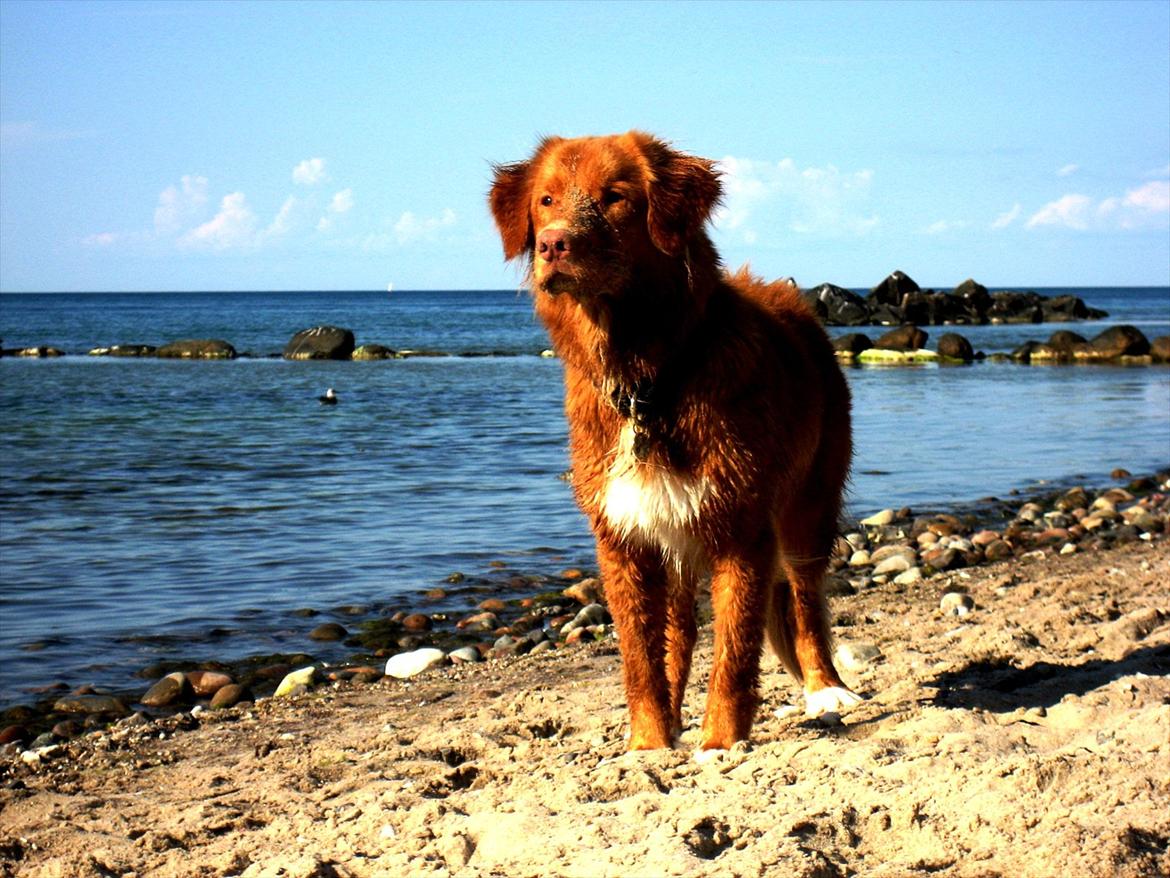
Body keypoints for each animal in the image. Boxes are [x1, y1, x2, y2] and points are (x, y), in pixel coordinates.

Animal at [489, 134, 865, 753]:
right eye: (545, 200)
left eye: (615, 197)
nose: (552, 244)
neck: (647, 377)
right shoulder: (623, 537)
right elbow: (640, 655)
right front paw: (648, 742)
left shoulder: (743, 529)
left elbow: (735, 650)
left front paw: (720, 741)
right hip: (675, 534)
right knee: (680, 630)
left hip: (806, 511)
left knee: (807, 602)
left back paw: (825, 690)